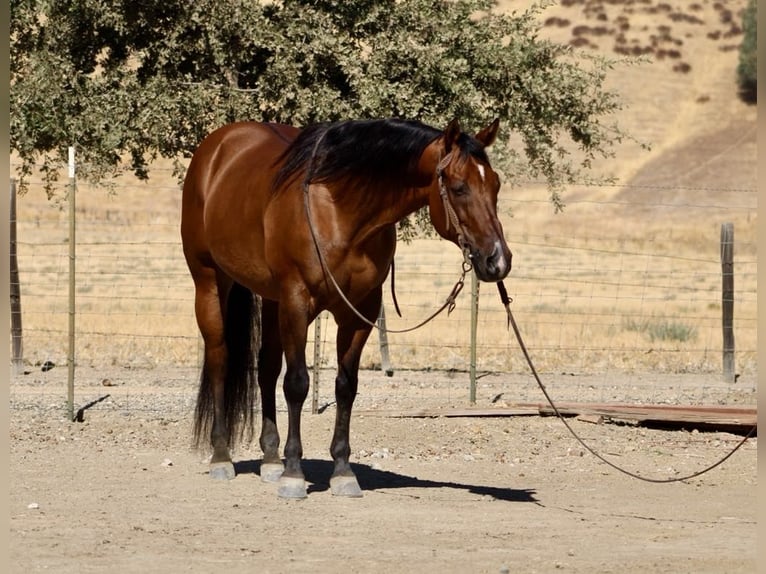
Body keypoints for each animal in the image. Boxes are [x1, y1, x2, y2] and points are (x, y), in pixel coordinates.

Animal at [182, 118, 512, 500]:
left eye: (496, 185)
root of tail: (217, 145)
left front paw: (342, 471)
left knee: (266, 368)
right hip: (210, 282)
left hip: (271, 299)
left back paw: (271, 459)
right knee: (220, 359)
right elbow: (297, 383)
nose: (499, 261)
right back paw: (222, 456)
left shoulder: (358, 312)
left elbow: (345, 386)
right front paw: (294, 474)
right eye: (459, 188)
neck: (340, 211)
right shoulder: (297, 302)